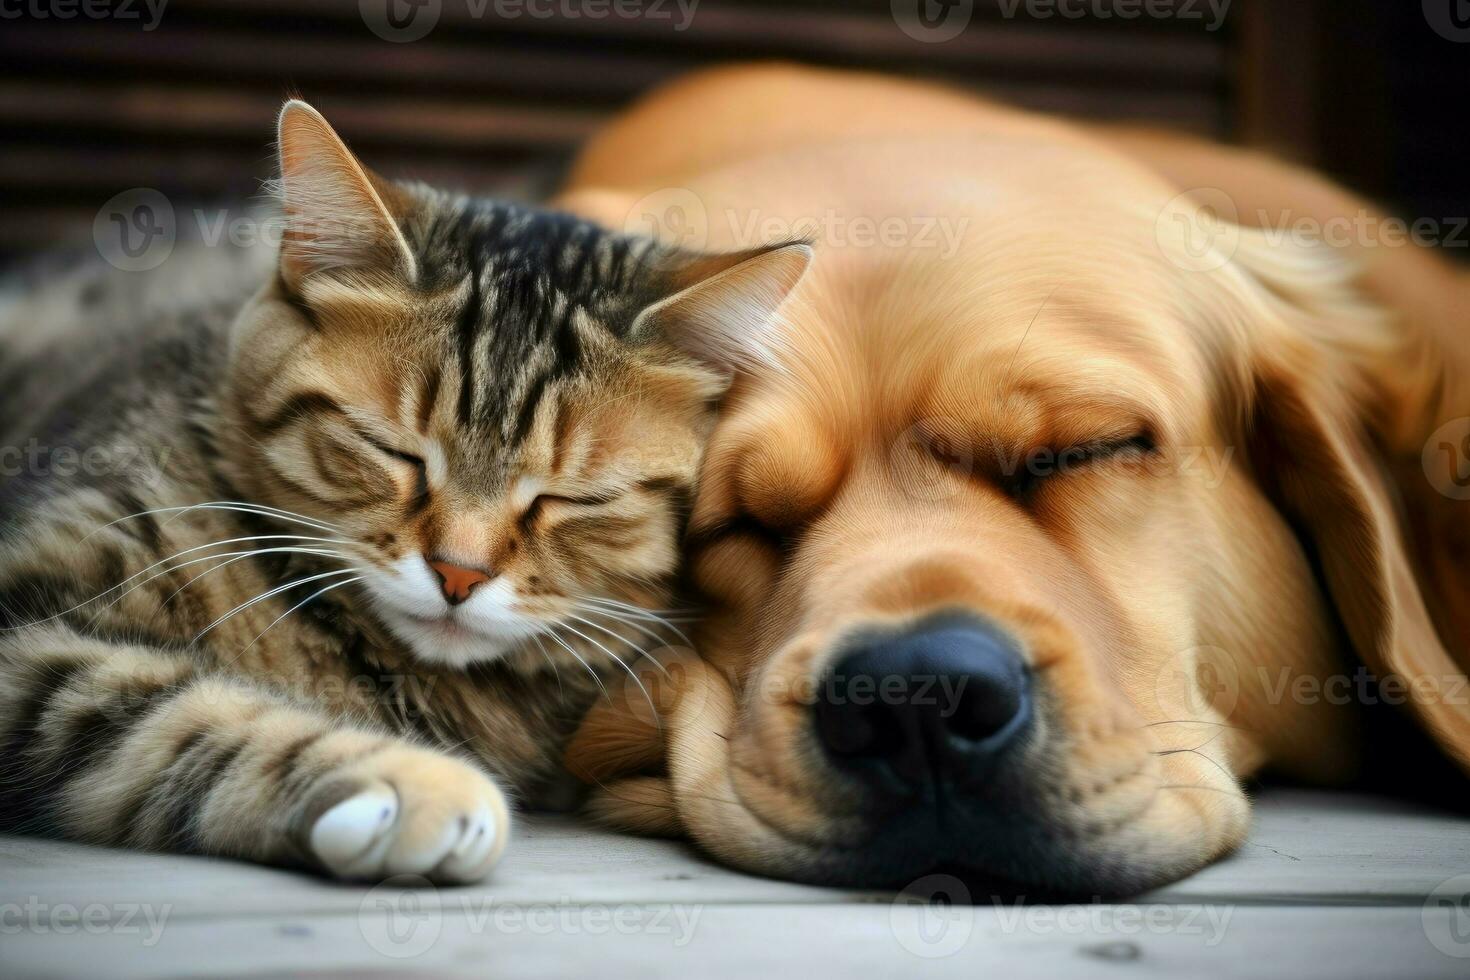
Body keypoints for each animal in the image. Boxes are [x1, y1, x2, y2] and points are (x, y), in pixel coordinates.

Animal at [0, 99, 811, 881]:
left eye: (572, 498)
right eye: (397, 454)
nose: (459, 575)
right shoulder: (32, 614)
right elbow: (179, 716)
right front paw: (404, 784)